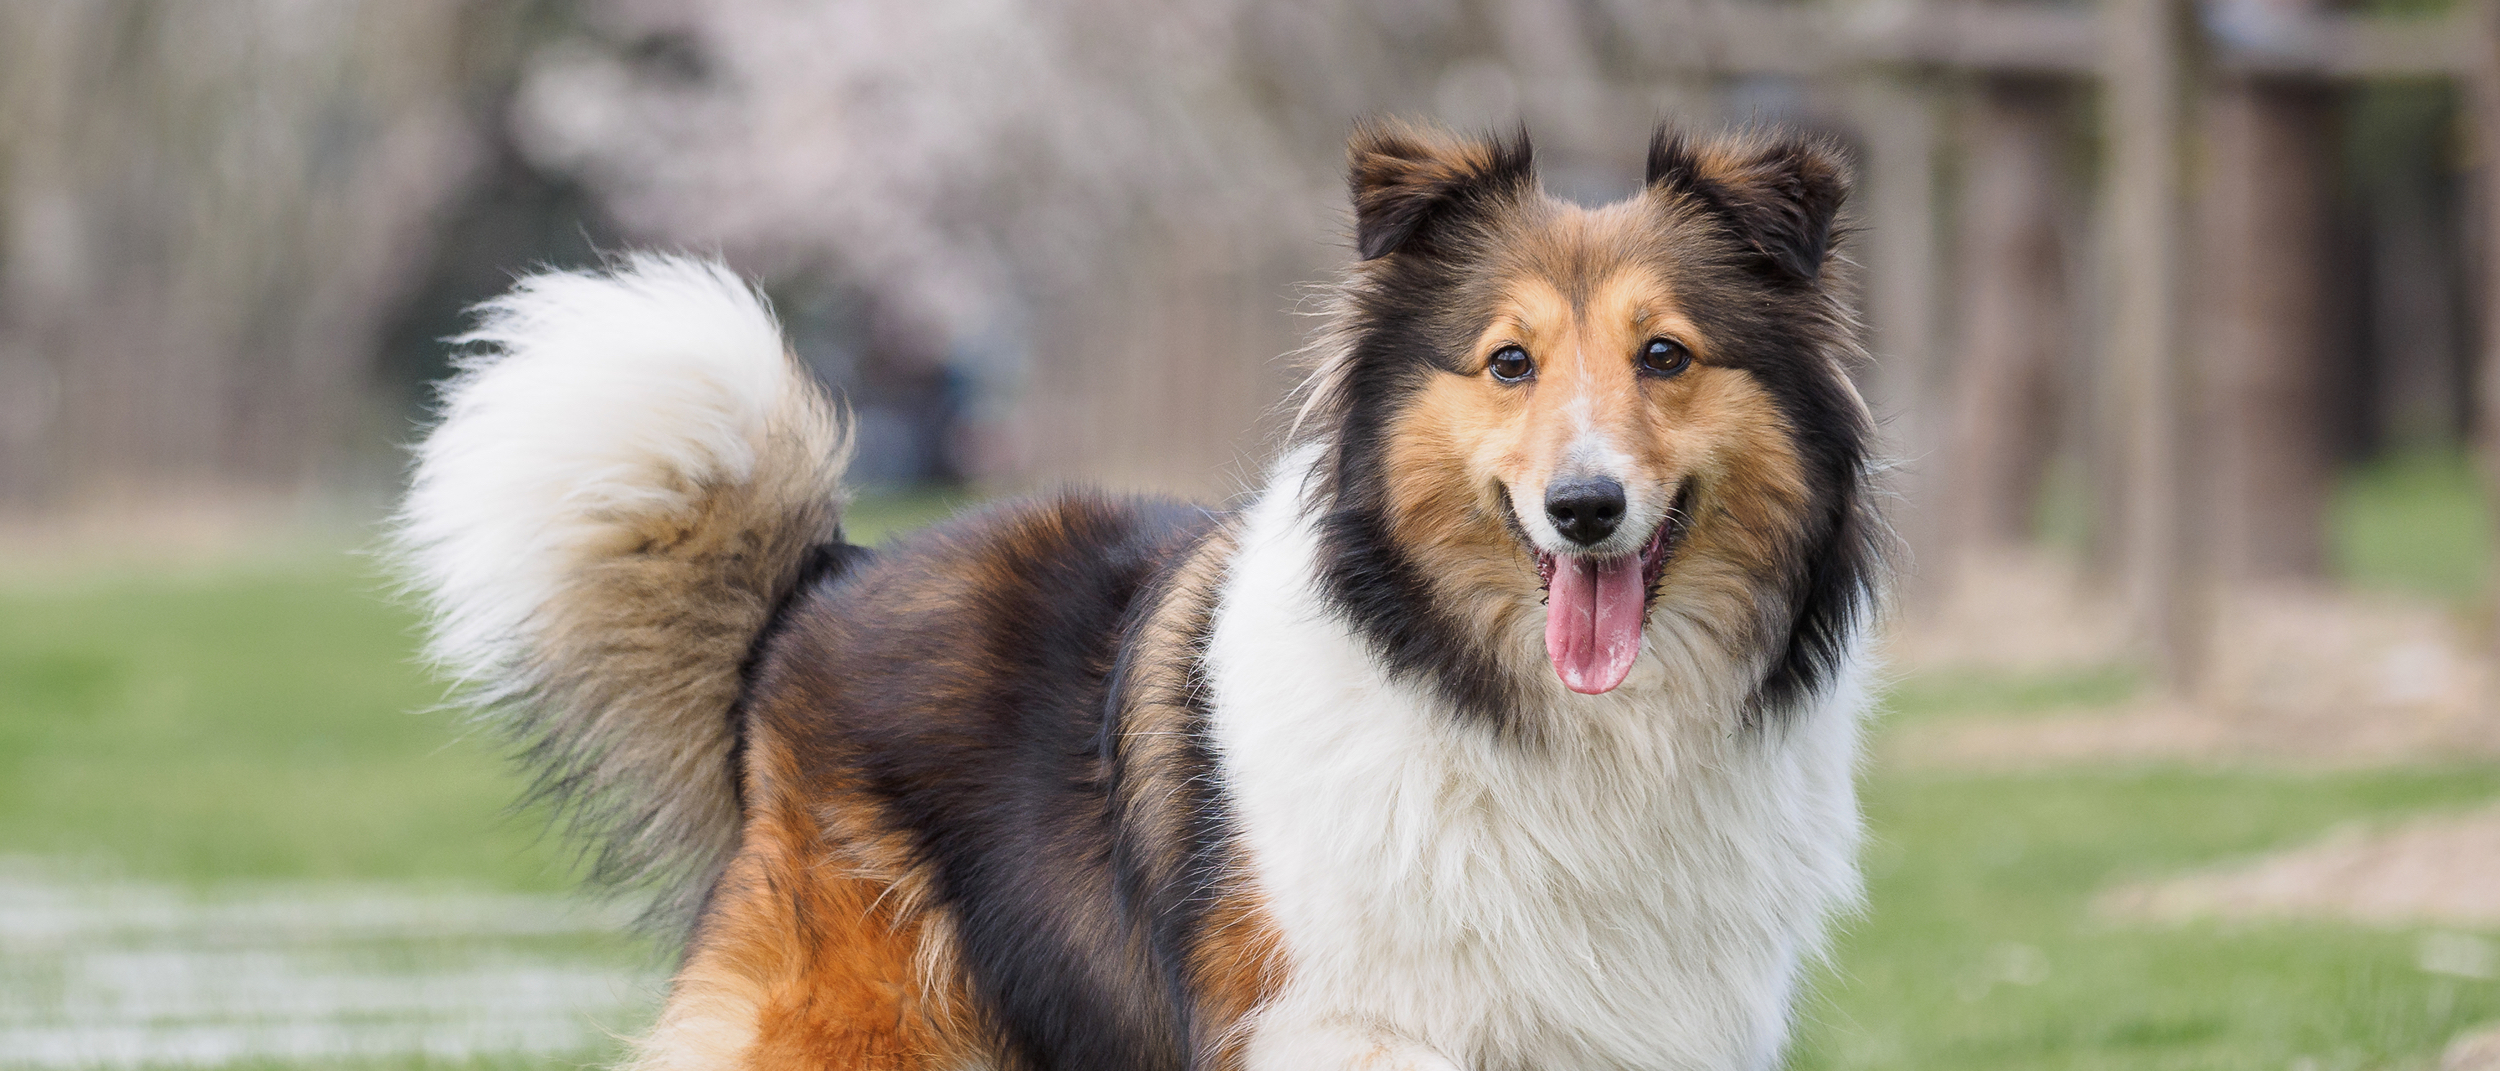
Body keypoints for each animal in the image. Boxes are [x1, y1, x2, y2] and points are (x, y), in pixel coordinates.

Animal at [395, 119, 1880, 1071]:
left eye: (1665, 354)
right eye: (1508, 361)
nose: (1584, 508)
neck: (1538, 718)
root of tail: (832, 576)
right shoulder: (1340, 1024)